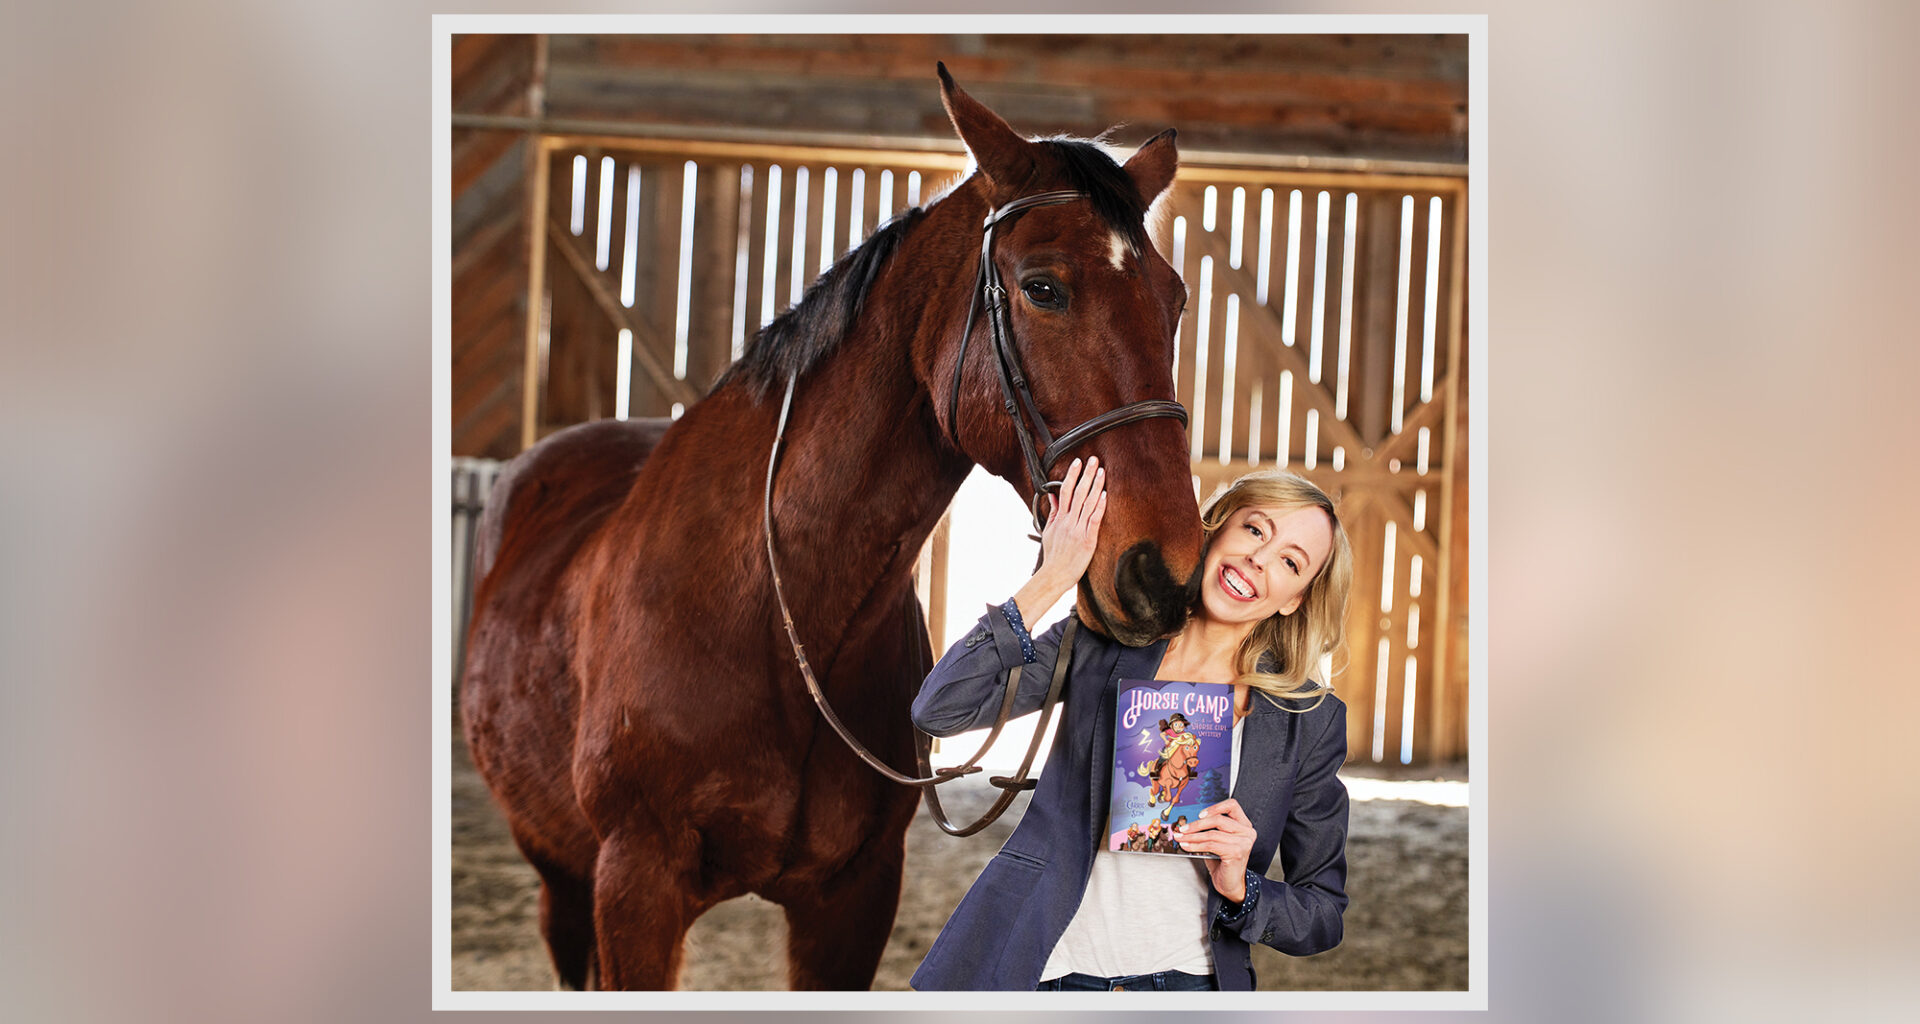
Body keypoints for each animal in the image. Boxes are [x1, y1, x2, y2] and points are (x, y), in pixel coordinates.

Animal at [459, 66, 1203, 991]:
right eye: (1043, 286)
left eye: (1174, 298)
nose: (1164, 573)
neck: (774, 620)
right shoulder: (635, 887)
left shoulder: (854, 900)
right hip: (559, 871)